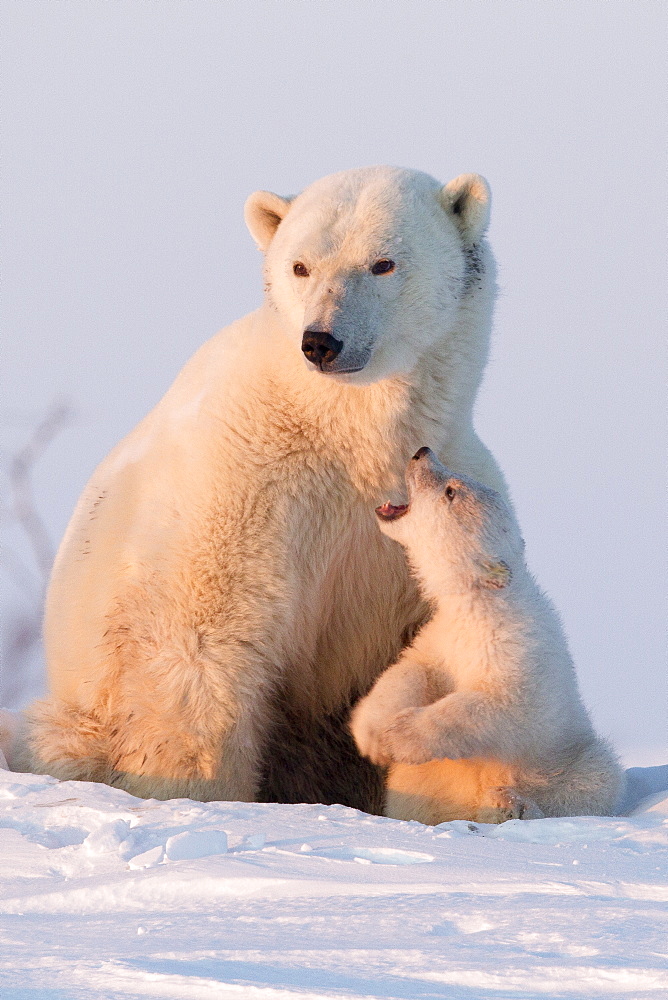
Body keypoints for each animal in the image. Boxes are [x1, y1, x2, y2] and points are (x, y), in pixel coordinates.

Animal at [20, 164, 512, 804]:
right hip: (82, 717)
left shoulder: (430, 493)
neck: (346, 427)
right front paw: (199, 790)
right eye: (300, 266)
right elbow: (201, 646)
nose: (321, 341)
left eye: (383, 263)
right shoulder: (241, 483)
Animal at [352, 450, 624, 824]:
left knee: (590, 782)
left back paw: (510, 805)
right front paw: (372, 733)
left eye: (451, 490)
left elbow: (498, 704)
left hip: (575, 760)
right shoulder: (441, 636)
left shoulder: (517, 643)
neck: (480, 605)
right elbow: (413, 669)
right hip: (424, 785)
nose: (422, 452)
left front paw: (401, 734)